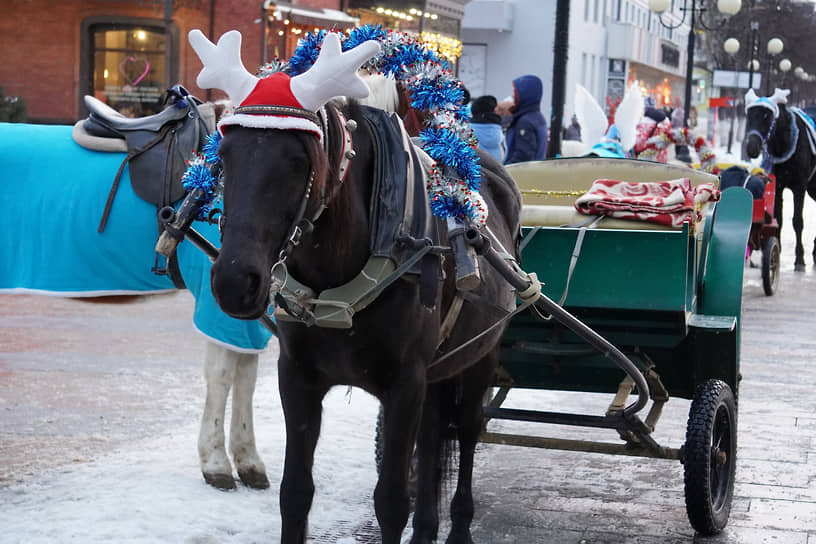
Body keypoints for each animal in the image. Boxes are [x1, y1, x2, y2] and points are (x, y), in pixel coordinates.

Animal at [0, 102, 274, 488]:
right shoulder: (219, 303)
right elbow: (222, 376)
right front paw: (216, 462)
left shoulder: (247, 311)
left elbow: (246, 378)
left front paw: (248, 460)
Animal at [190, 30, 520, 544]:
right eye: (223, 155)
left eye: (299, 159)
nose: (234, 280)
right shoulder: (298, 377)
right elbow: (295, 493)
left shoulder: (405, 383)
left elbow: (390, 502)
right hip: (438, 370)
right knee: (433, 437)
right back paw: (428, 527)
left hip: (481, 355)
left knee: (467, 432)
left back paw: (459, 525)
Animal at [744, 87, 816, 272]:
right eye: (749, 115)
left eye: (767, 116)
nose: (752, 147)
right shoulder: (778, 186)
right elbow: (779, 219)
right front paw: (776, 251)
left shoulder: (799, 187)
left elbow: (797, 221)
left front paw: (800, 259)